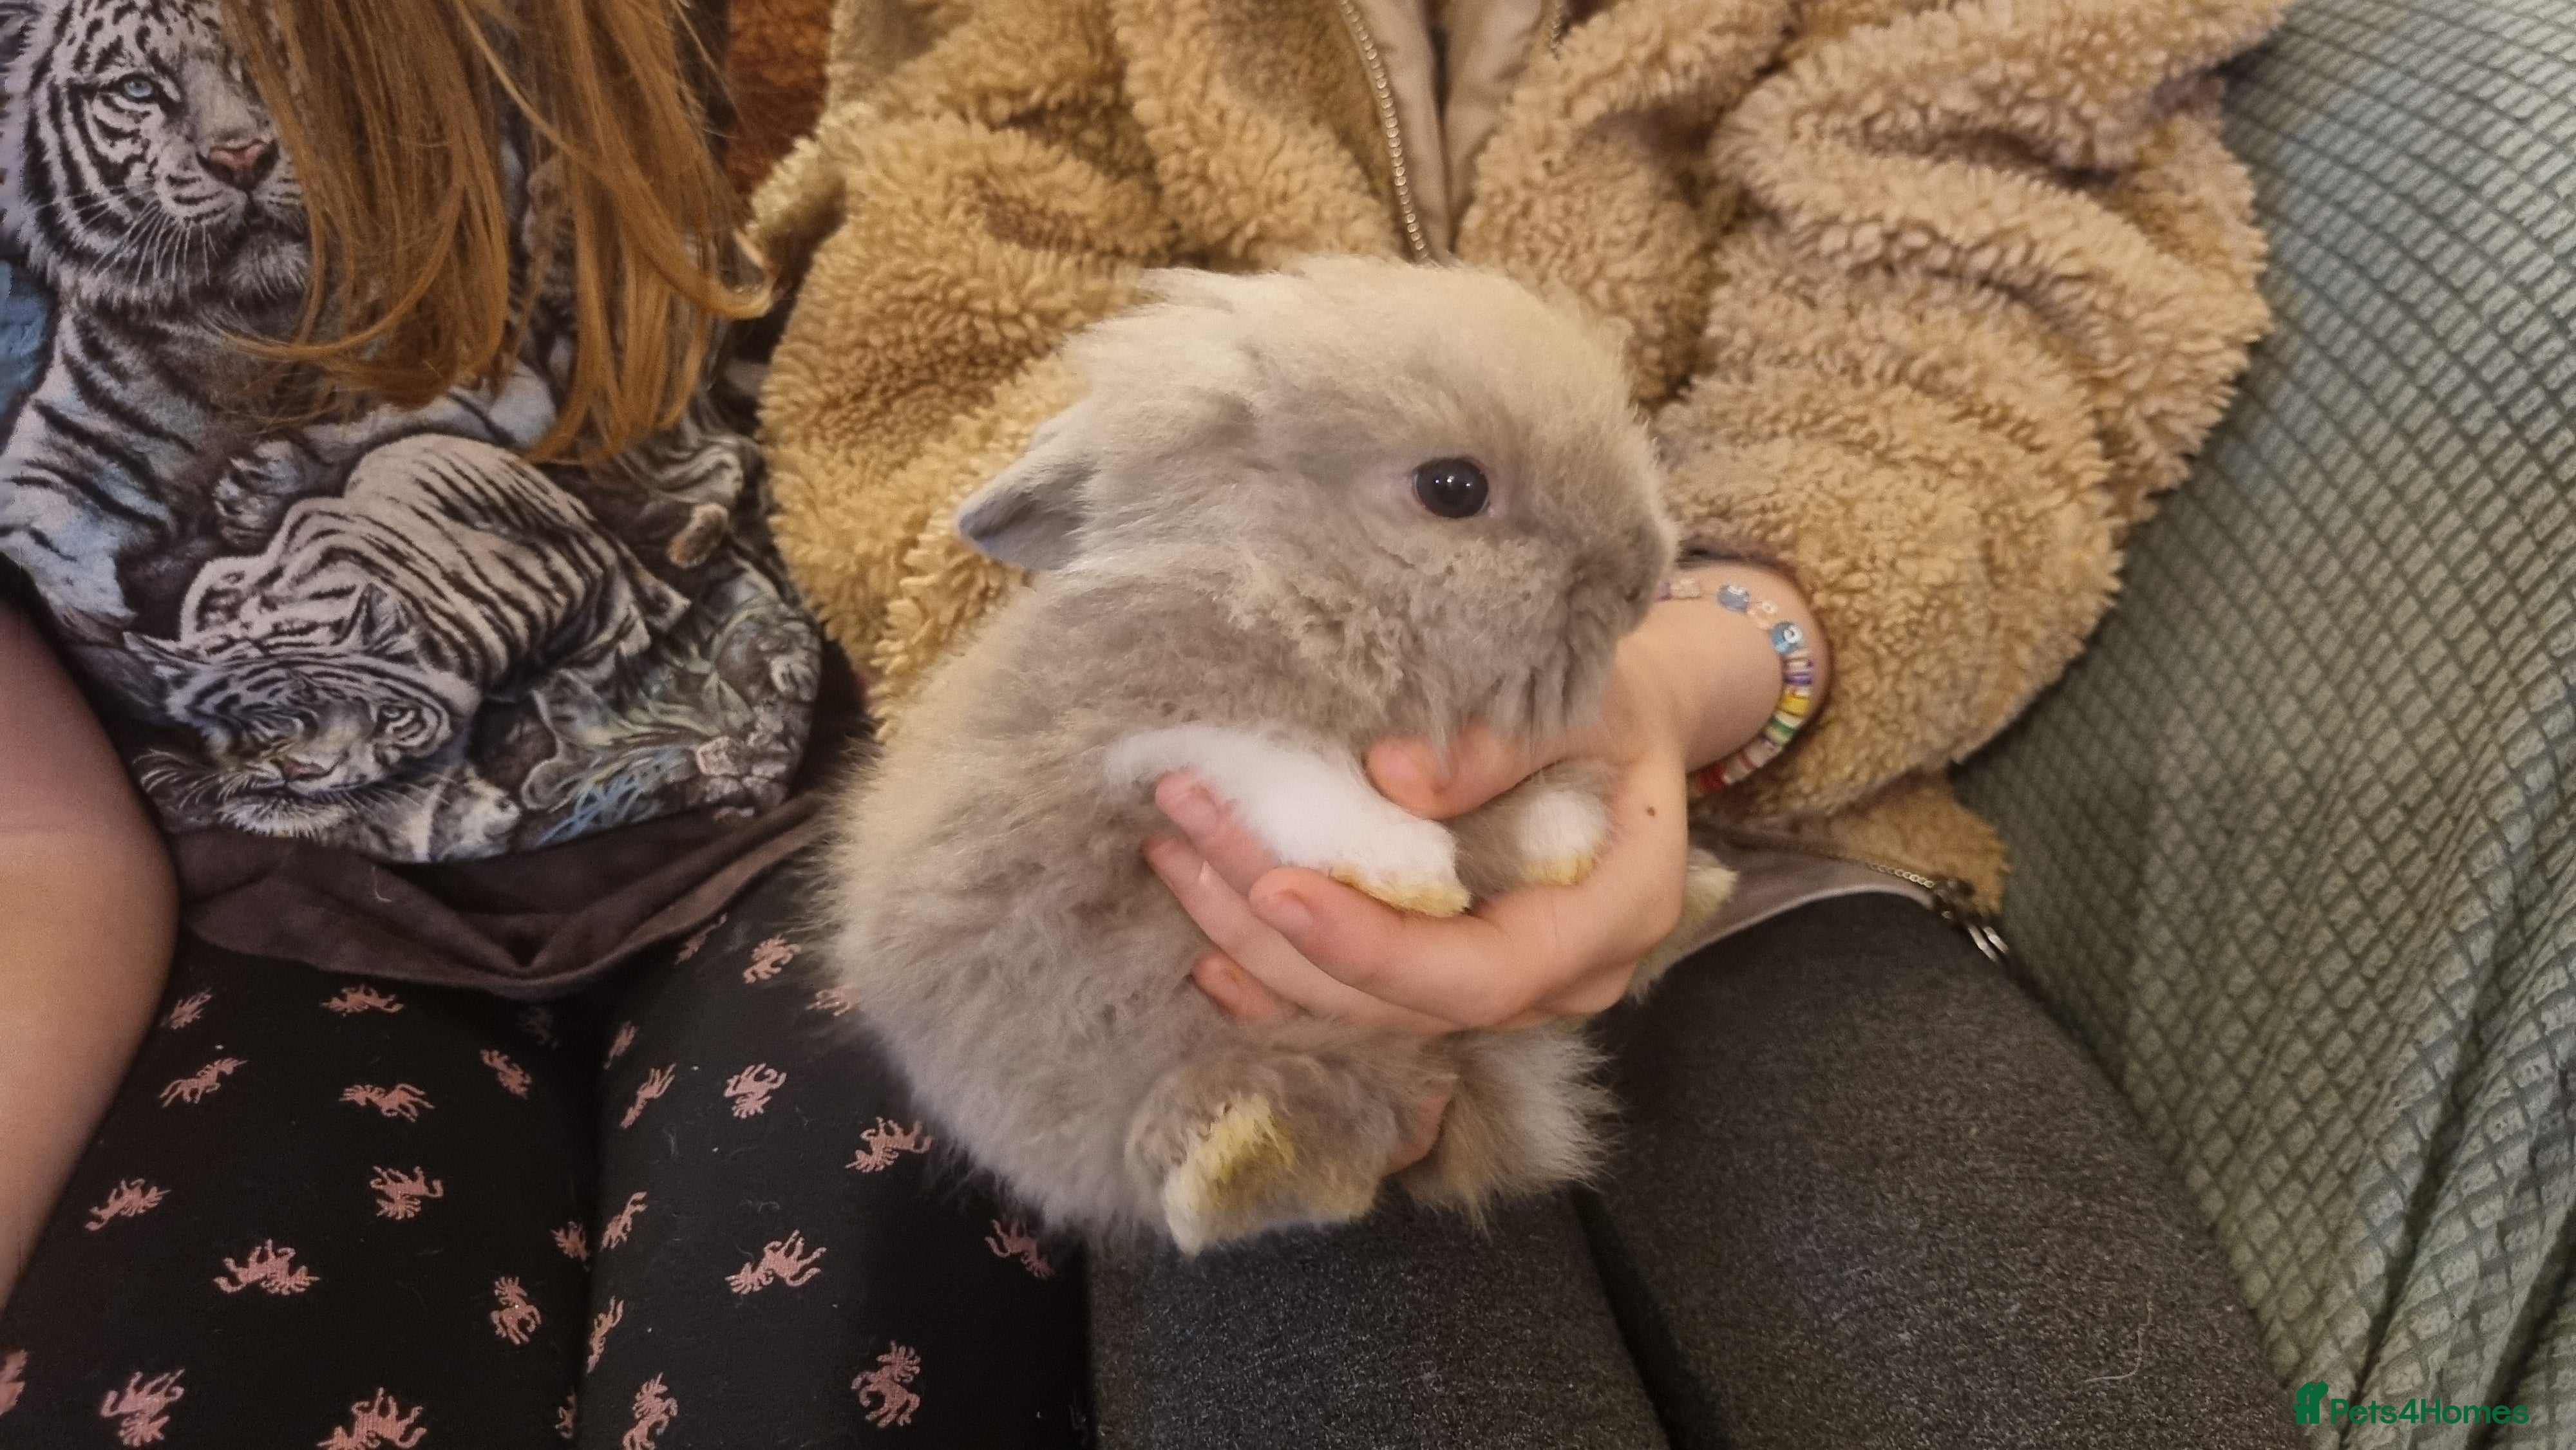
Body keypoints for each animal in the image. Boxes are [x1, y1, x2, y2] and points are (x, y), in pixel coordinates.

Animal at [823, 256, 1734, 1252]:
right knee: (1255, 1170)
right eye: (1452, 487)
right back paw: (1241, 1152)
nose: (1645, 573)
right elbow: (1281, 768)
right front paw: (1410, 870)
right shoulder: (1136, 735)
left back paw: (1653, 880)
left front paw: (1532, 838)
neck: (1288, 588)